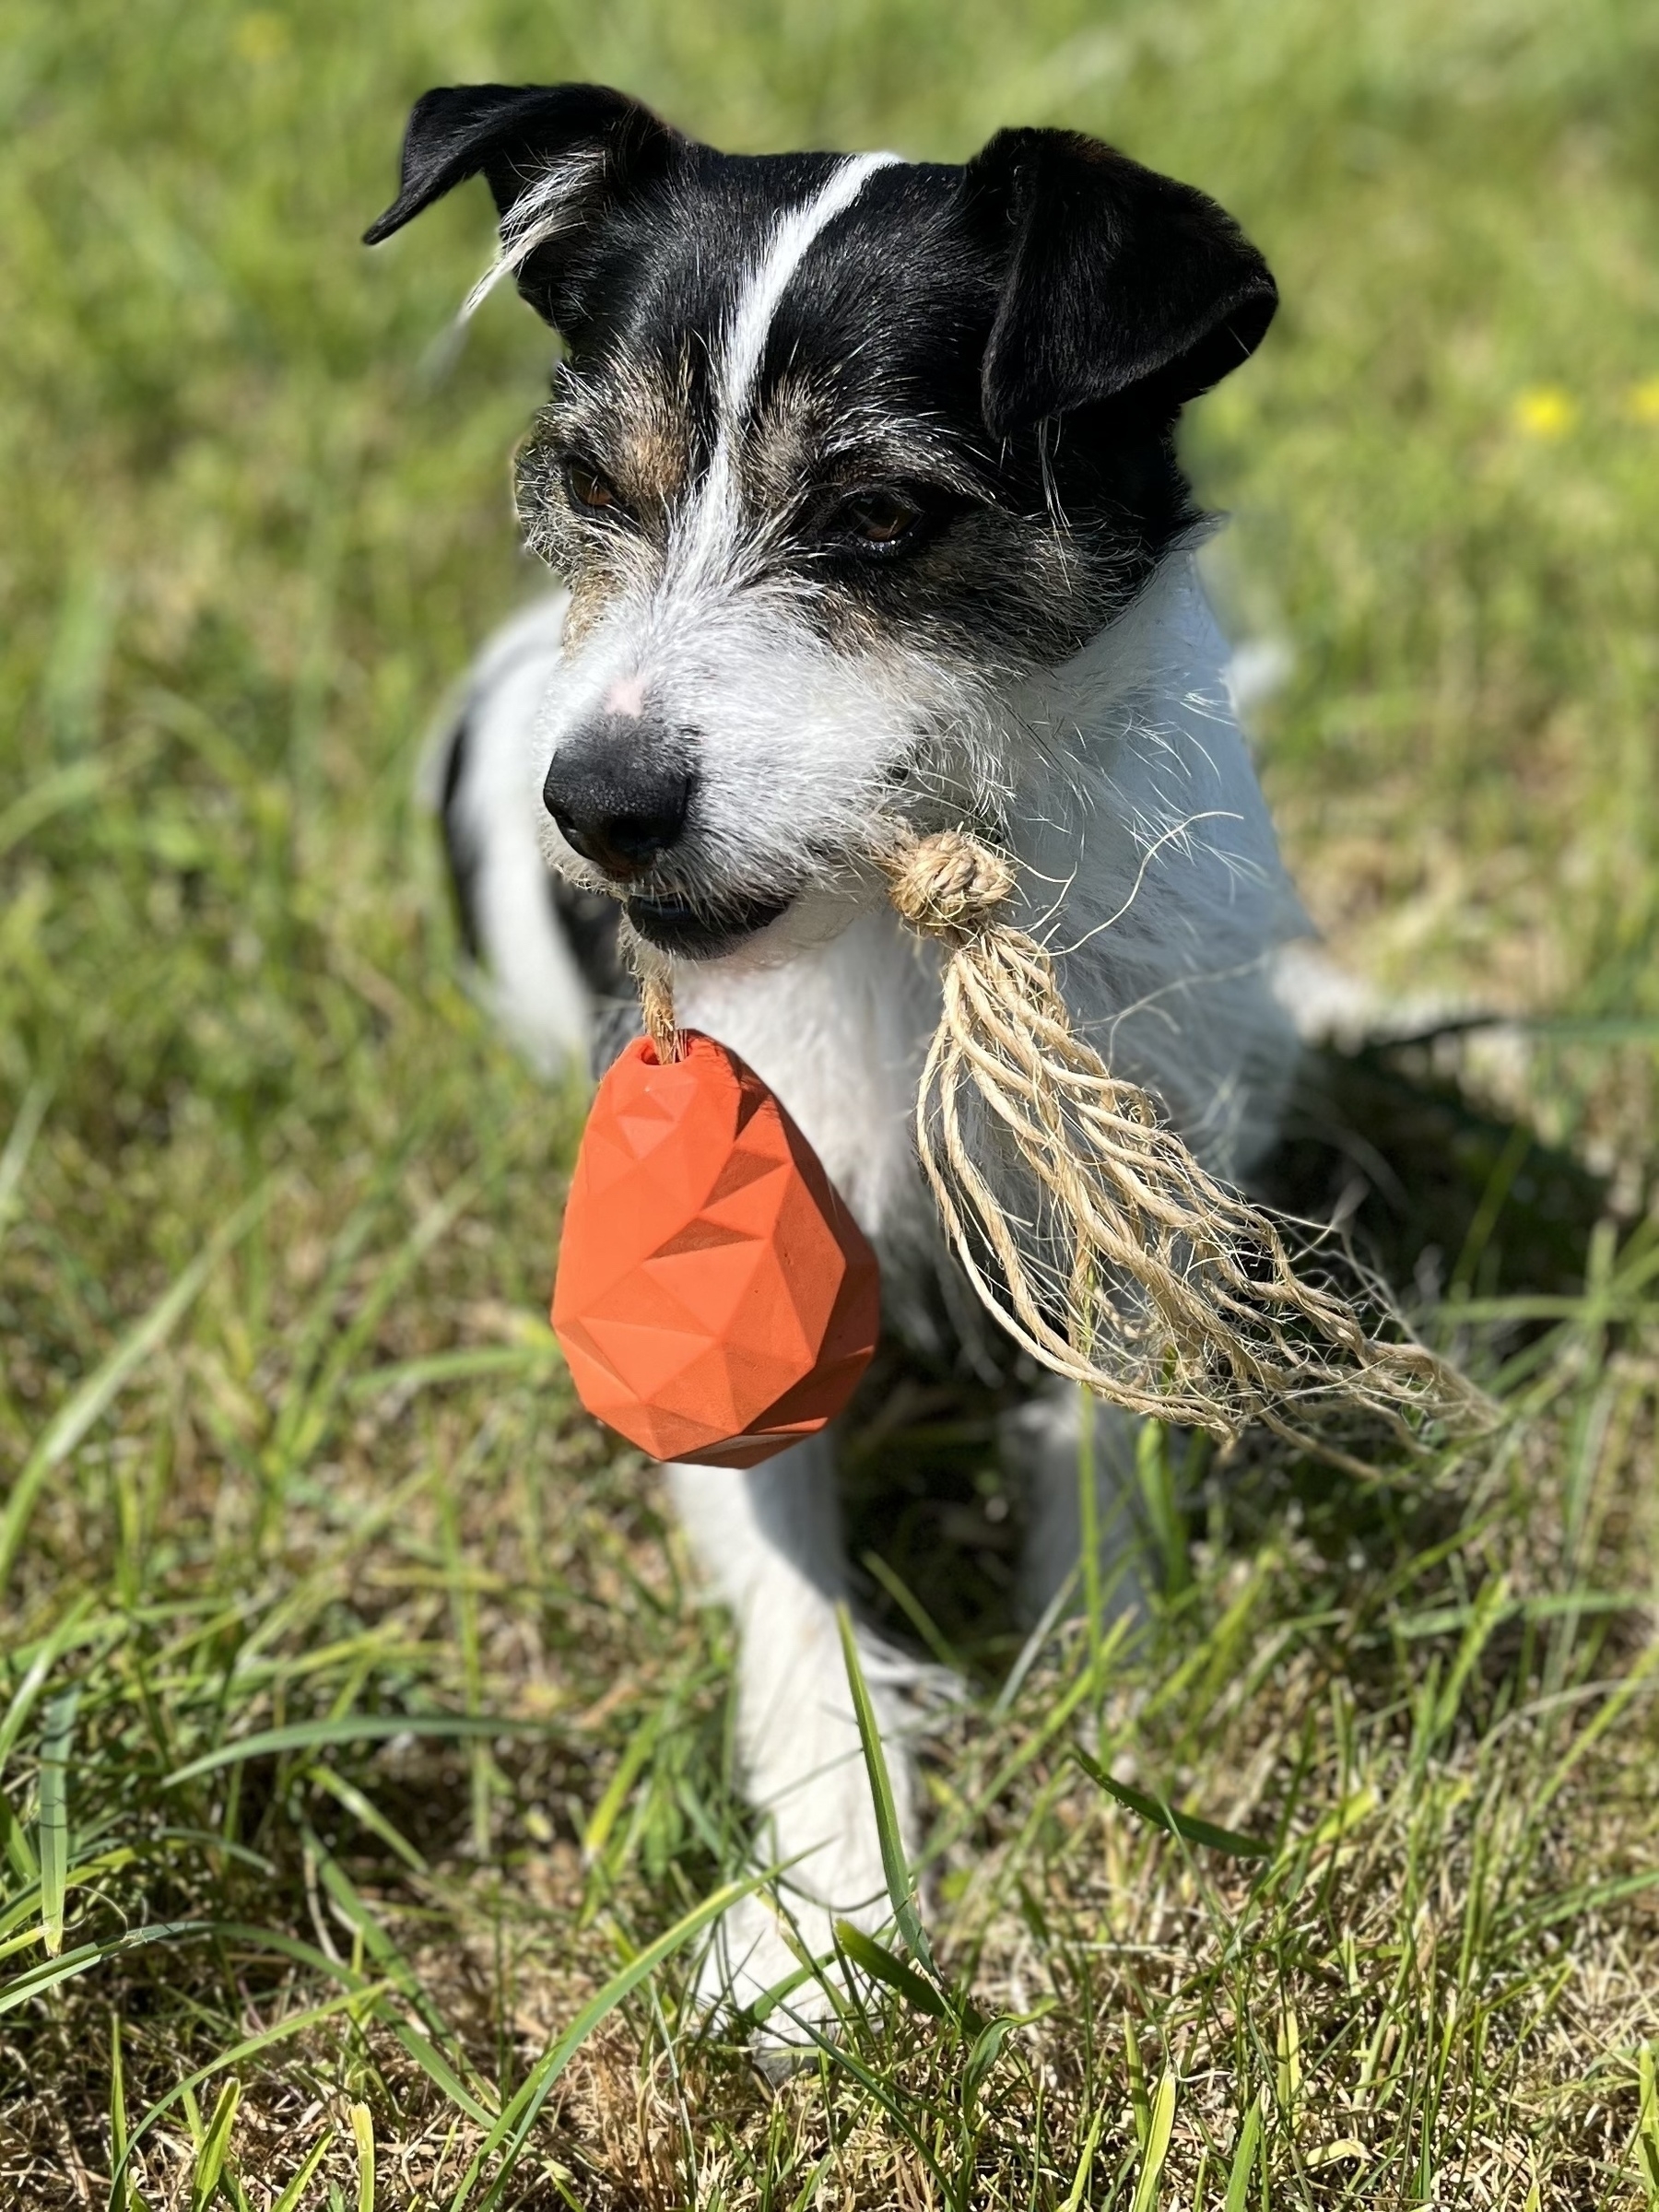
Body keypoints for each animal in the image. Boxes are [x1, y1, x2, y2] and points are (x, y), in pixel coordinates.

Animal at [369, 86, 1318, 2026]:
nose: (599, 806)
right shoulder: (708, 1316)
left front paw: (1105, 1718)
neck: (884, 939)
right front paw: (834, 1910)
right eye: (598, 485)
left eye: (878, 513)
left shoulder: (1123, 1203)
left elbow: (1104, 1460)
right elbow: (805, 1626)